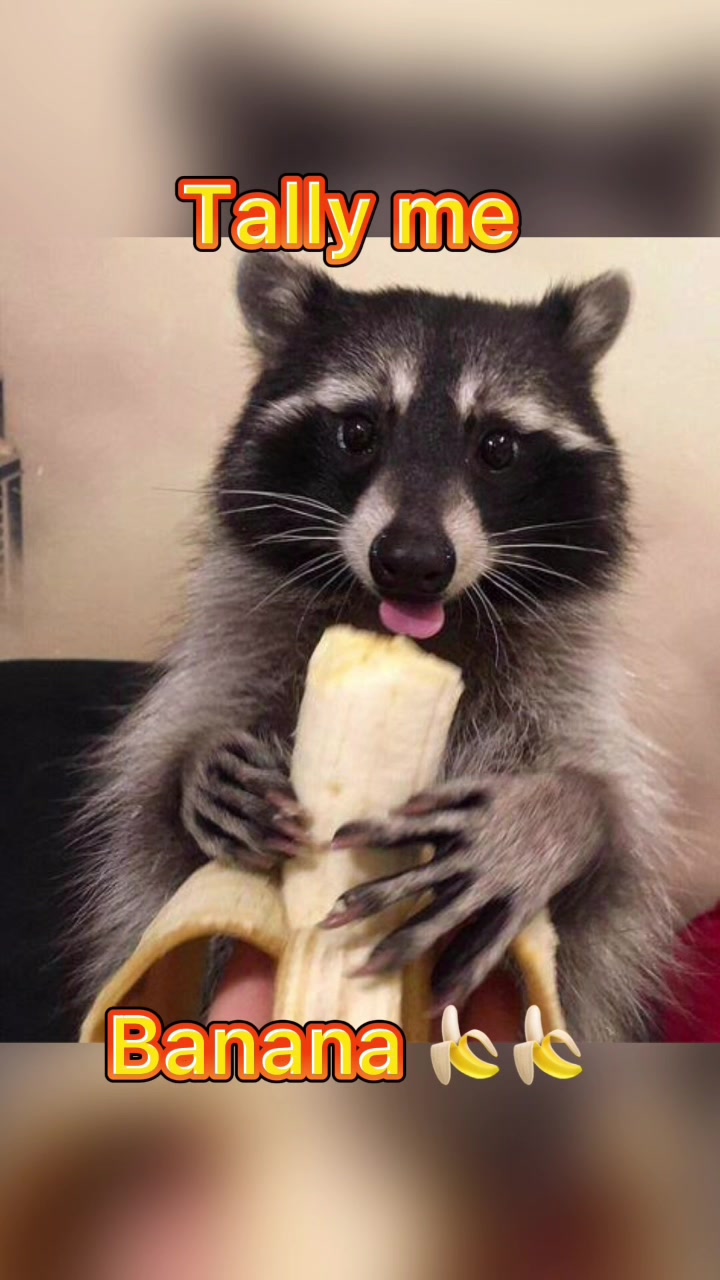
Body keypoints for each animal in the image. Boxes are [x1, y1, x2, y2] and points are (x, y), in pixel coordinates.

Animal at [77, 255, 678, 1040]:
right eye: (358, 430)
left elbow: (614, 861)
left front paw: (560, 814)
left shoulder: (567, 687)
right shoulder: (238, 647)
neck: (408, 629)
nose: (413, 562)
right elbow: (147, 833)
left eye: (497, 447)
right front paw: (191, 768)